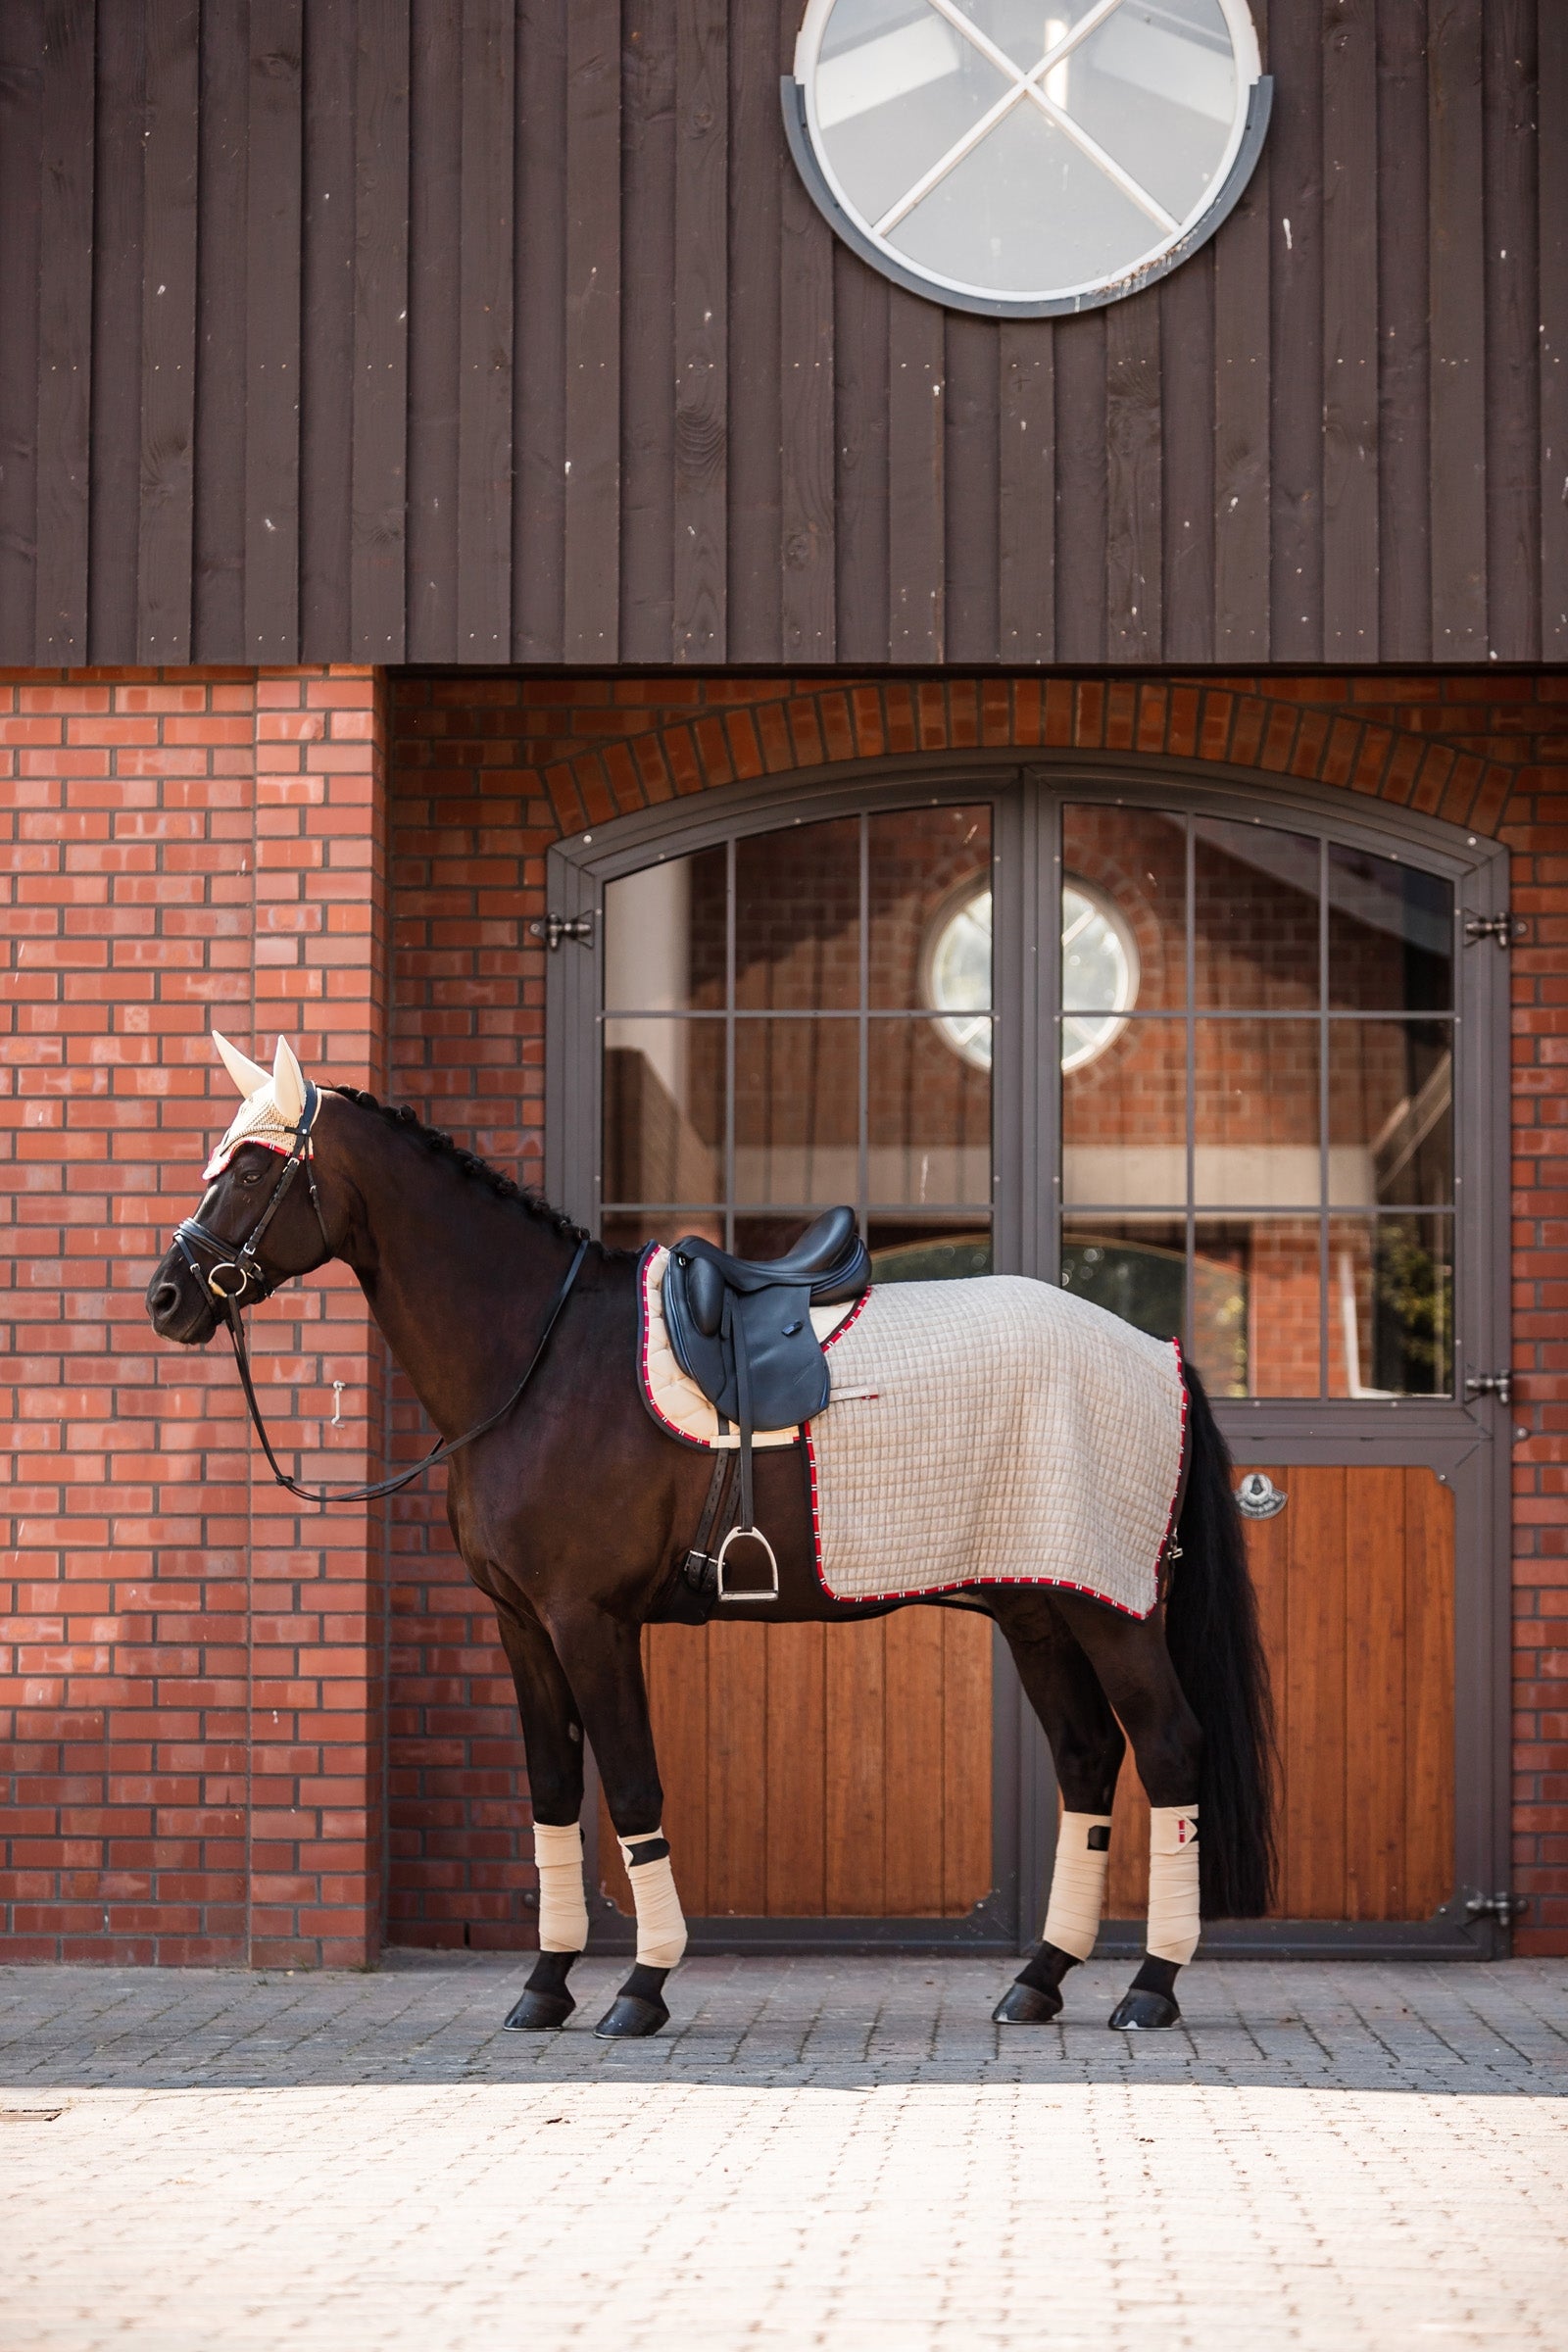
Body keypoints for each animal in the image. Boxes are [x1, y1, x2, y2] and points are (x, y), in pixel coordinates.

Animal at [145, 1033, 1276, 2040]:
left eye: (253, 1168)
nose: (166, 1298)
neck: (543, 1358)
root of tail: (1159, 1352)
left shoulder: (590, 1622)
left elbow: (632, 1787)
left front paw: (640, 1988)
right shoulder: (521, 1626)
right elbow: (554, 1796)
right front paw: (544, 1988)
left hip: (1114, 1610)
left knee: (1167, 1749)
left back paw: (1151, 1990)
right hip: (1039, 1608)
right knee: (1087, 1759)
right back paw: (1038, 1980)